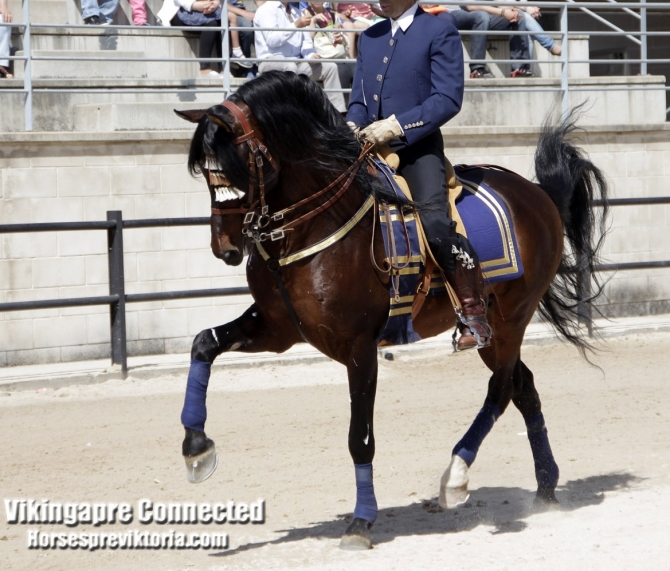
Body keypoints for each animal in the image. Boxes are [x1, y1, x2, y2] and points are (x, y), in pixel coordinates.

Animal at [176, 70, 612, 548]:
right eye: (206, 173)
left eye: (238, 164)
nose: (226, 248)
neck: (316, 226)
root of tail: (536, 192)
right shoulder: (277, 330)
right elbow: (203, 344)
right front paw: (196, 447)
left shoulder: (360, 349)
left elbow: (359, 438)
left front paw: (361, 520)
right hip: (497, 331)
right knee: (523, 387)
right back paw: (546, 488)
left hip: (510, 318)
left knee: (500, 390)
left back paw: (456, 477)